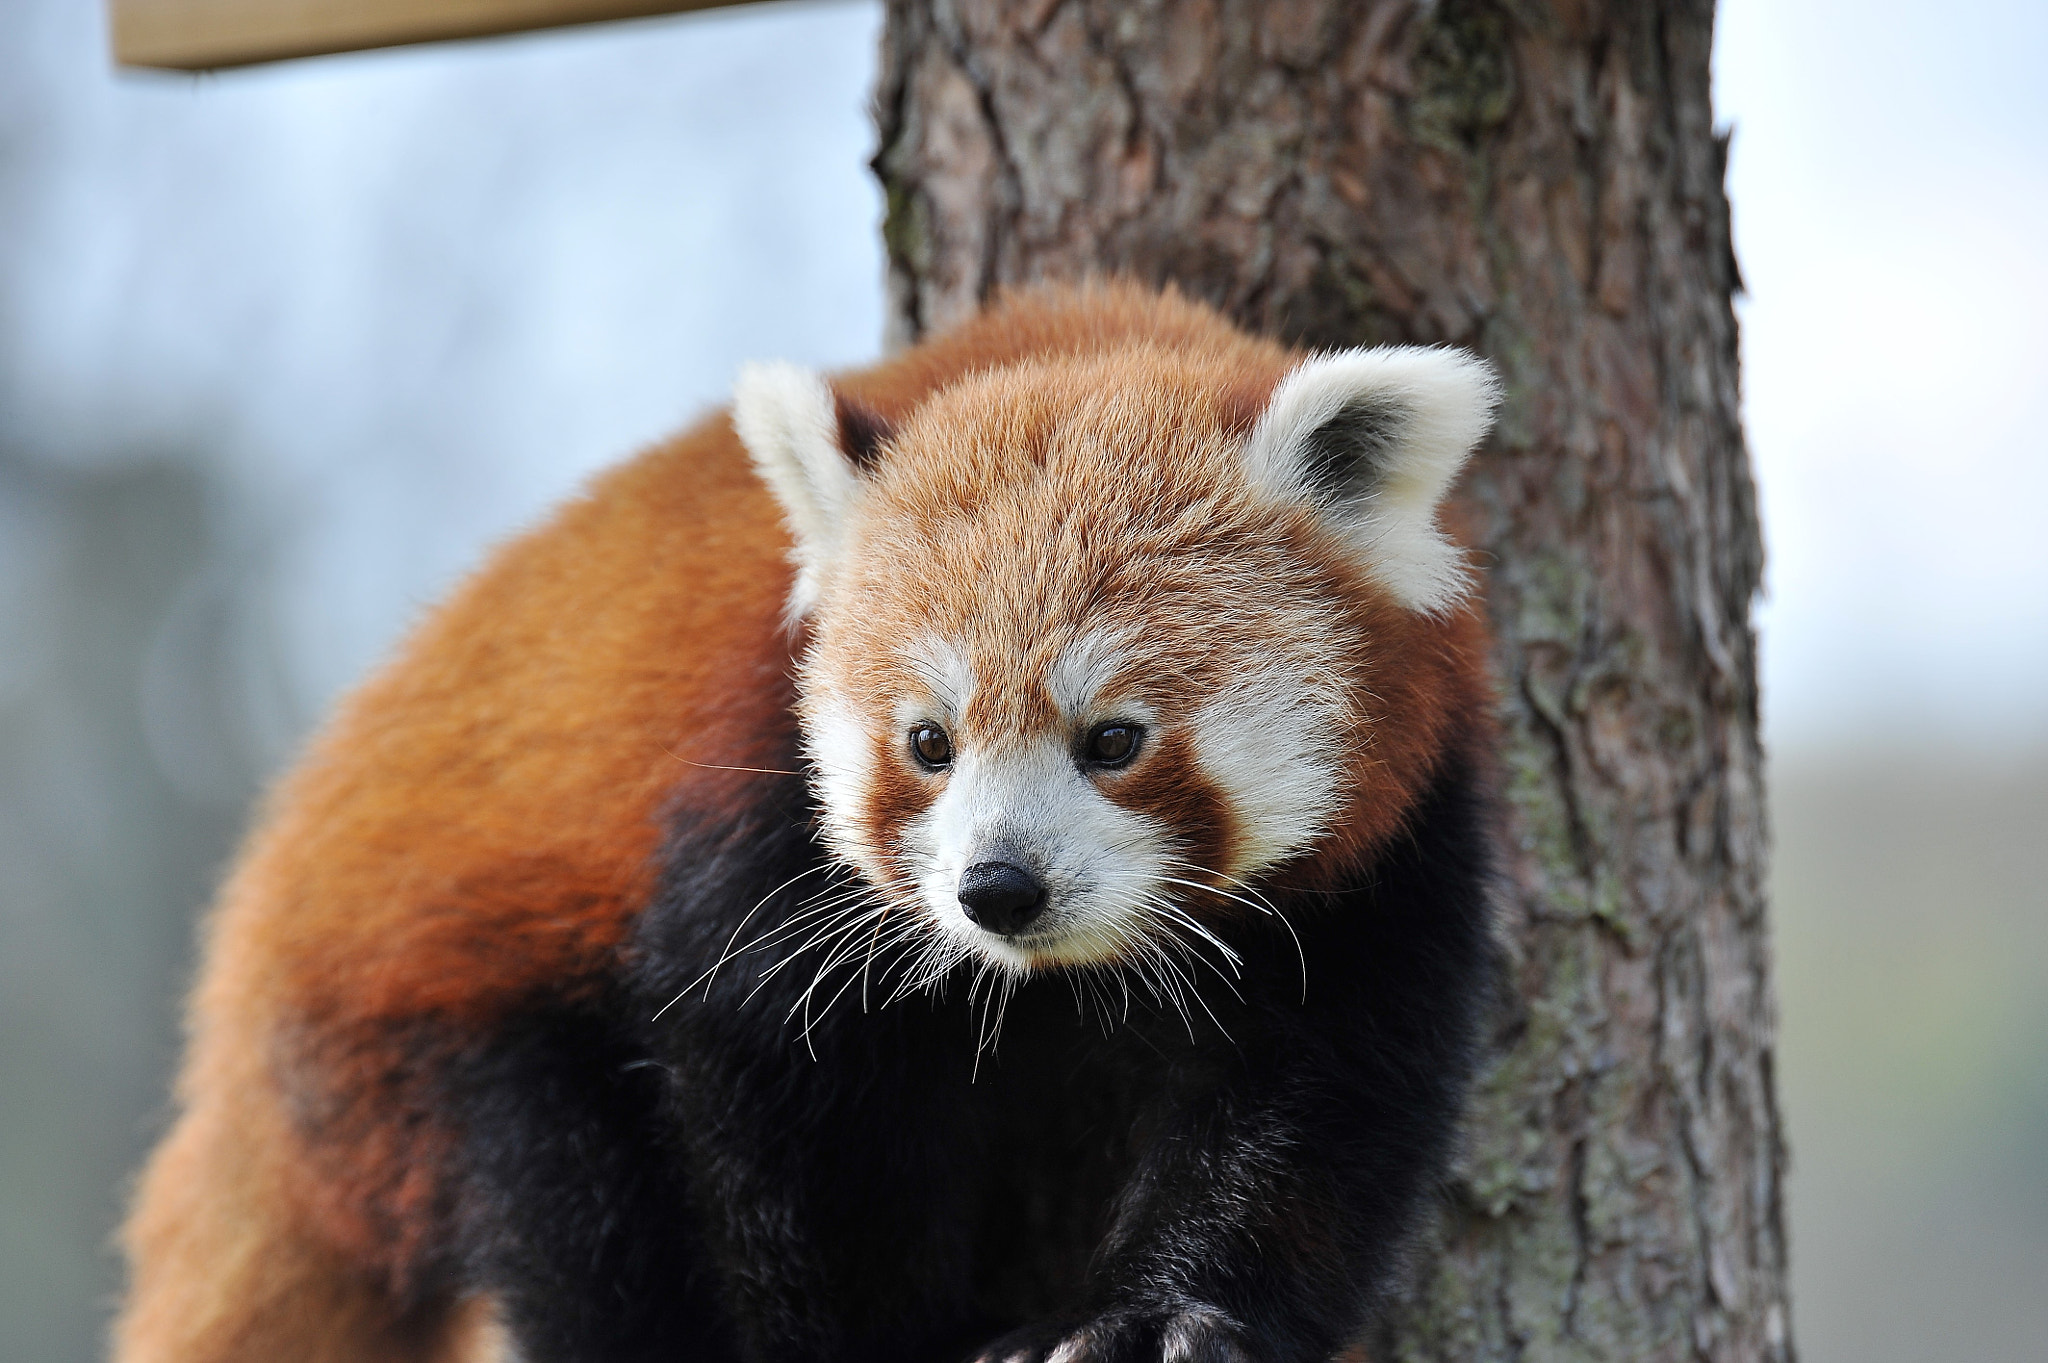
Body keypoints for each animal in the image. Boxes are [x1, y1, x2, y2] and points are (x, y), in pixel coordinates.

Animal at [119, 280, 1507, 1350]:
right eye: (928, 744)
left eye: (1113, 740)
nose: (997, 889)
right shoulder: (747, 808)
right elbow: (786, 1103)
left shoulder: (1398, 839)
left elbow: (1321, 1093)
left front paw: (1167, 1317)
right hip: (438, 1017)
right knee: (573, 1215)